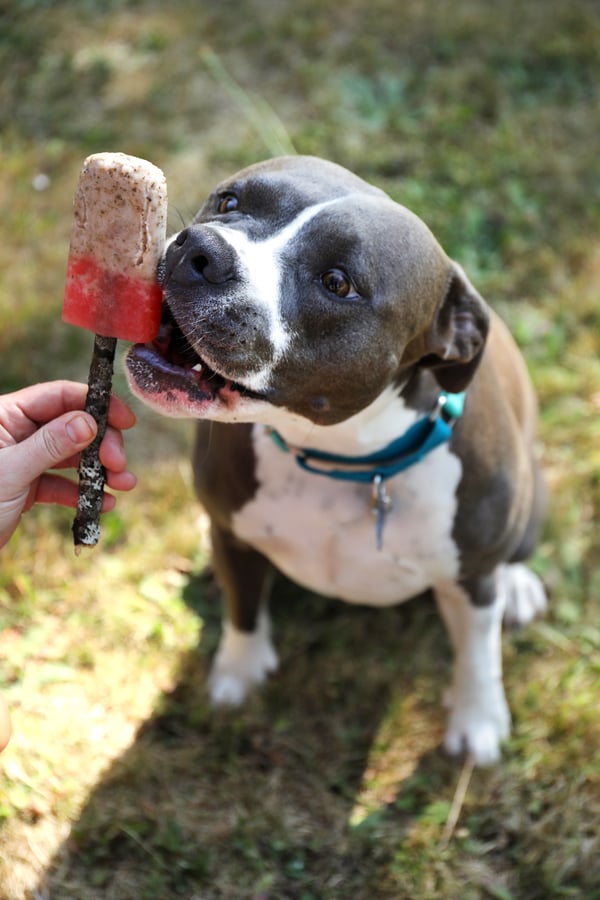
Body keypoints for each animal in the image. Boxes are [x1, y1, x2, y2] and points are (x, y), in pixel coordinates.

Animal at [126, 156, 548, 768]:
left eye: (337, 282)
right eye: (230, 202)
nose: (200, 250)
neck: (339, 455)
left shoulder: (470, 577)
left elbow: (477, 652)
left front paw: (478, 721)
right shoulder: (232, 533)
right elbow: (243, 607)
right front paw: (239, 674)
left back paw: (517, 586)